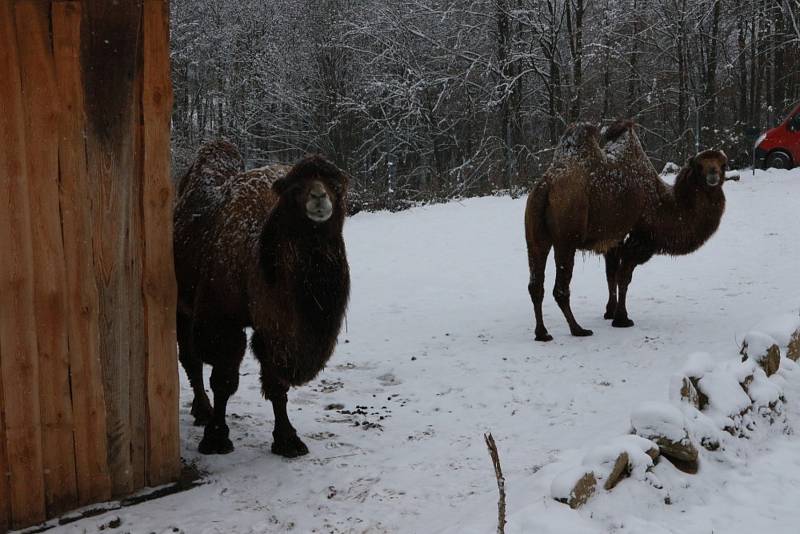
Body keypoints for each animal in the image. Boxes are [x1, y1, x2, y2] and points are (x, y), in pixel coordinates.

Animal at [524, 120, 736, 344]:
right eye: (699, 166)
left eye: (723, 165)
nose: (713, 175)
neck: (662, 203)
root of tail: (545, 187)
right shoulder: (640, 239)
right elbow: (623, 276)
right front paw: (622, 318)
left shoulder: (613, 237)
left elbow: (610, 273)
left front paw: (609, 312)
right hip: (567, 236)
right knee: (560, 288)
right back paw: (578, 329)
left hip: (534, 234)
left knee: (535, 284)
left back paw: (542, 333)